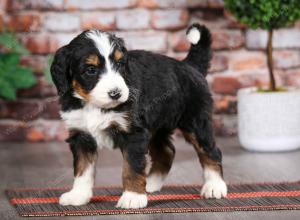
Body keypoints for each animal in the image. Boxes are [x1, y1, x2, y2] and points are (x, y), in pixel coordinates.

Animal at [50, 23, 227, 209]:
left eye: (120, 64)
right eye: (91, 70)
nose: (116, 93)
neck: (95, 105)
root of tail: (190, 65)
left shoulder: (134, 133)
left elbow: (132, 167)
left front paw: (133, 197)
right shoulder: (81, 135)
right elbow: (83, 170)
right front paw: (78, 195)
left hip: (196, 121)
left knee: (211, 151)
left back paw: (214, 186)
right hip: (157, 126)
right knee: (167, 152)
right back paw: (151, 183)